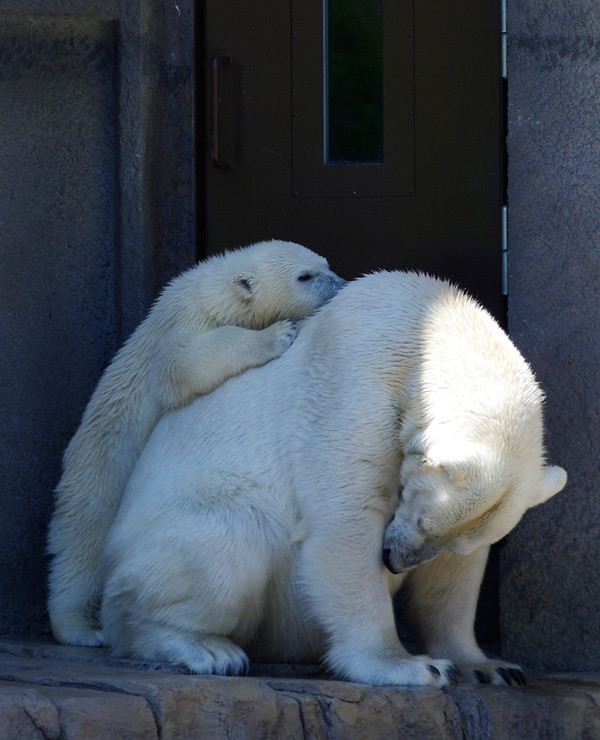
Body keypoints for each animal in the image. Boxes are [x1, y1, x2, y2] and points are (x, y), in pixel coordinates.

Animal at [101, 270, 564, 688]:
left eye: (448, 539)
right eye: (421, 520)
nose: (393, 560)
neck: (430, 325)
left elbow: (454, 575)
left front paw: (489, 666)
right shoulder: (354, 383)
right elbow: (345, 520)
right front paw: (412, 666)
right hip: (184, 525)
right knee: (232, 543)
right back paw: (205, 648)